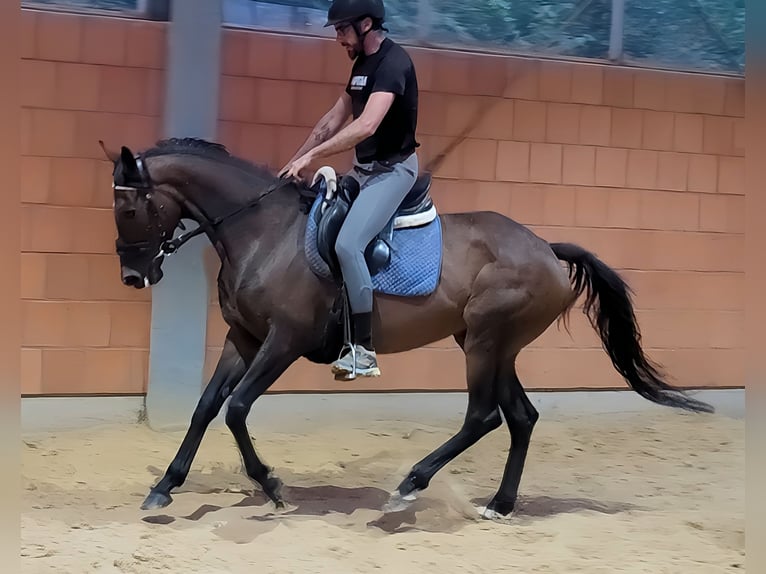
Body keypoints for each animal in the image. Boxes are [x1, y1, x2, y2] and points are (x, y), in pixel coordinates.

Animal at [100, 136, 712, 520]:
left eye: (128, 210)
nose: (133, 276)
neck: (261, 232)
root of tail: (544, 247)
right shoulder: (244, 339)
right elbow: (207, 408)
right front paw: (164, 487)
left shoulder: (284, 342)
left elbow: (237, 409)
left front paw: (272, 486)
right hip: (493, 345)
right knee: (520, 417)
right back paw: (499, 505)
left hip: (485, 341)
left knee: (483, 416)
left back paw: (410, 485)